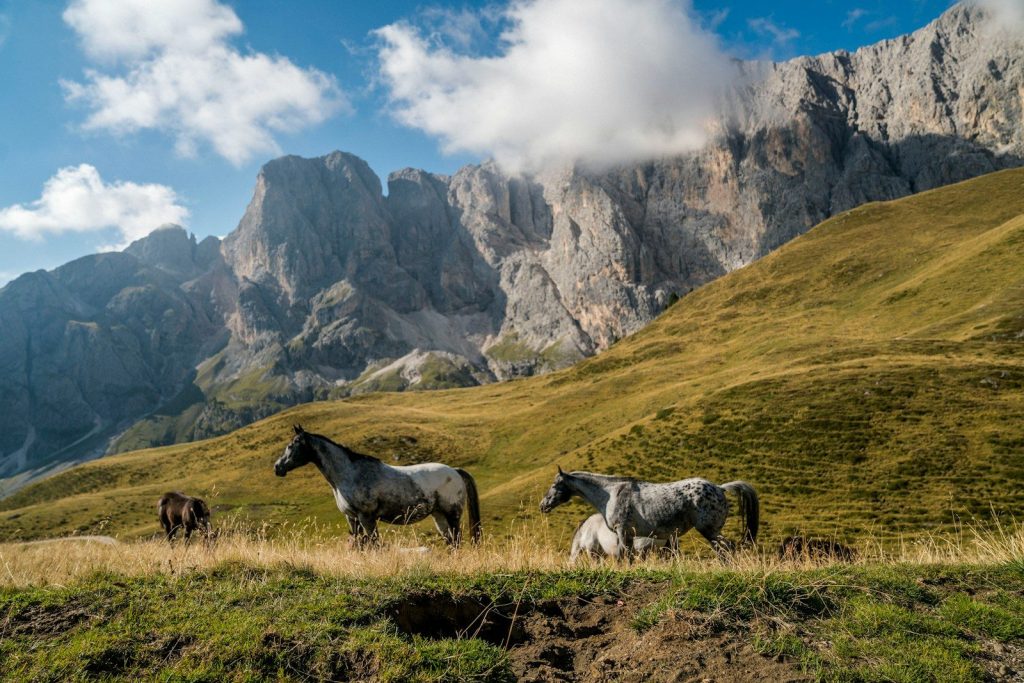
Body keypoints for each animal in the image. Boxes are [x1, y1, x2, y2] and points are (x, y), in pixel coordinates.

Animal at [274, 425, 481, 547]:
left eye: (292, 445)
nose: (278, 467)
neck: (349, 473)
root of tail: (455, 471)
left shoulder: (366, 517)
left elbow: (374, 543)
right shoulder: (352, 518)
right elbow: (357, 542)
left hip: (452, 514)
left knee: (456, 540)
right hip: (439, 516)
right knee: (451, 541)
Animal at [539, 467, 759, 561]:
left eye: (555, 485)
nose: (543, 505)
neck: (611, 494)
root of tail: (720, 488)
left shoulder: (622, 532)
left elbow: (624, 558)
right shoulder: (627, 535)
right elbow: (626, 556)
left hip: (709, 530)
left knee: (726, 548)